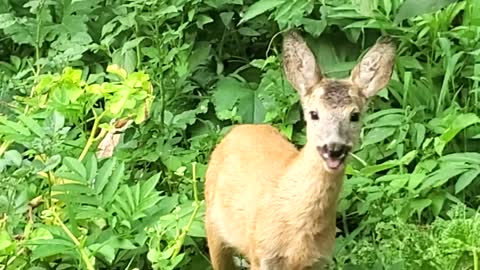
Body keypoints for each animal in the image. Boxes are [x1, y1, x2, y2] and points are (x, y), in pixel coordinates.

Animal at [202, 29, 394, 270]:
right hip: (212, 223)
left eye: (355, 115)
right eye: (314, 113)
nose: (334, 148)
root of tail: (243, 128)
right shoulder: (261, 254)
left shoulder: (319, 260)